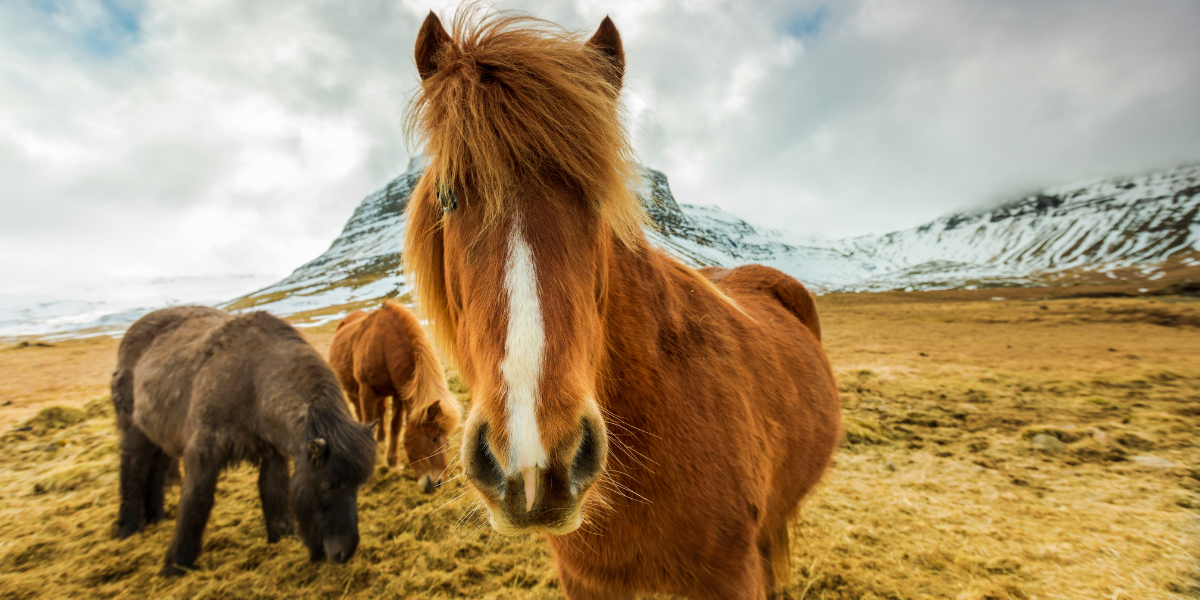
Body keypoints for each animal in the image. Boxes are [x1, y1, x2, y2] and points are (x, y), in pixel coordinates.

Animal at [110, 306, 376, 576]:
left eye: (357, 486)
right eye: (327, 485)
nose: (344, 553)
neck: (252, 379)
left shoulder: (272, 452)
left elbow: (274, 490)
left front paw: (281, 537)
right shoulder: (203, 451)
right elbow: (196, 501)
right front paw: (176, 565)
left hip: (160, 438)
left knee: (154, 473)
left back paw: (157, 517)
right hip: (134, 432)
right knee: (133, 471)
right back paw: (129, 529)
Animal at [328, 300, 462, 492]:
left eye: (447, 441)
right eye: (432, 438)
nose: (437, 483)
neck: (383, 346)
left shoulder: (399, 394)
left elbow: (396, 426)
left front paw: (393, 463)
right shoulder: (366, 391)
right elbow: (369, 422)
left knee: (382, 413)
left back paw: (381, 440)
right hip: (353, 392)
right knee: (360, 413)